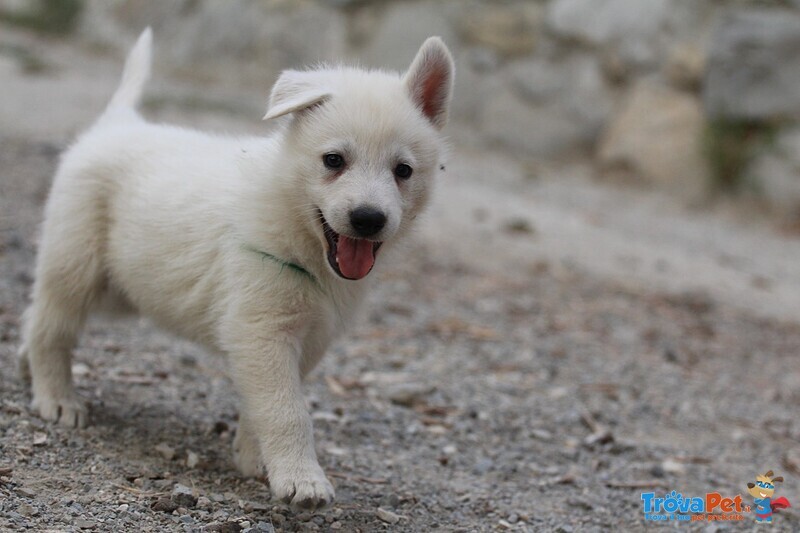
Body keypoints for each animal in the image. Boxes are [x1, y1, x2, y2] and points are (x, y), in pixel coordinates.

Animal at [15, 28, 454, 508]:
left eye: (403, 170)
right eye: (334, 160)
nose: (368, 219)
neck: (300, 233)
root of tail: (118, 123)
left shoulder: (304, 340)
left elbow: (265, 403)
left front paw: (256, 458)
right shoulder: (263, 330)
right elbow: (287, 409)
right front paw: (302, 479)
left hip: (123, 288)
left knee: (35, 315)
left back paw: (25, 365)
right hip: (76, 267)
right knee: (51, 327)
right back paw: (56, 396)